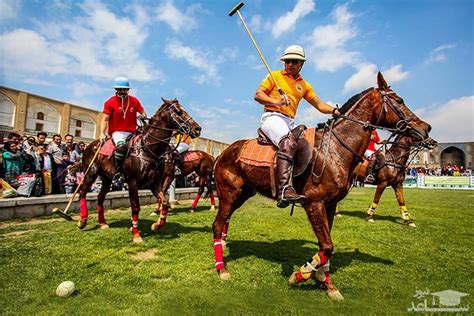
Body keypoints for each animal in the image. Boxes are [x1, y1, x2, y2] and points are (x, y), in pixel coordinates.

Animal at [75, 99, 200, 242]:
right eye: (179, 112)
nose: (198, 129)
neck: (147, 148)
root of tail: (91, 145)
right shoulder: (132, 182)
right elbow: (135, 207)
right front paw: (136, 234)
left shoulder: (153, 182)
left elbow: (164, 202)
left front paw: (156, 225)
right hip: (91, 172)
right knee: (82, 192)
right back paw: (82, 221)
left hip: (107, 177)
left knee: (100, 197)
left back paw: (102, 223)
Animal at [212, 73, 434, 300]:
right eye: (399, 100)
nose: (426, 128)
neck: (336, 148)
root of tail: (224, 151)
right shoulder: (315, 202)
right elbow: (327, 246)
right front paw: (300, 275)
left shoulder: (331, 203)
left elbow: (326, 245)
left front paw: (326, 283)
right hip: (229, 193)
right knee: (217, 224)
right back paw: (222, 269)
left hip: (243, 193)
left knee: (225, 219)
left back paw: (224, 245)